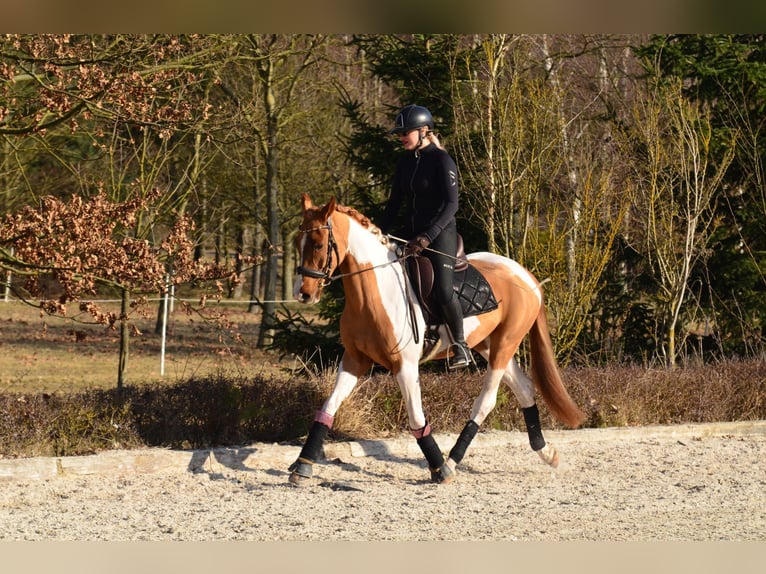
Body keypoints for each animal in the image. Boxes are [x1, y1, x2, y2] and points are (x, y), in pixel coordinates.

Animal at [288, 194, 585, 485]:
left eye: (318, 244)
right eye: (296, 242)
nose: (303, 294)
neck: (372, 293)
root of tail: (525, 275)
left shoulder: (405, 366)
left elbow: (416, 418)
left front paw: (438, 467)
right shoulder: (354, 360)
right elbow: (328, 406)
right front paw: (302, 465)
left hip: (505, 344)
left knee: (486, 401)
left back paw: (452, 462)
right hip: (488, 344)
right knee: (523, 387)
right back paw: (547, 452)